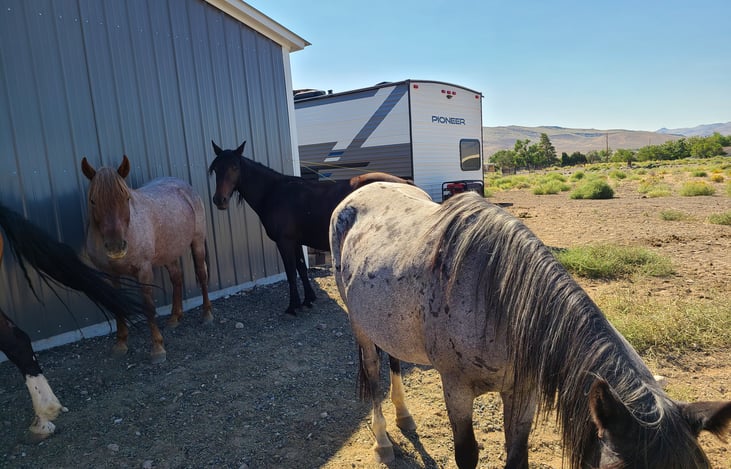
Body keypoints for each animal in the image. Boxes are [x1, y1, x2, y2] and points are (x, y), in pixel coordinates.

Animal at [81, 155, 212, 364]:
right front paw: (121, 344)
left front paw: (157, 348)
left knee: (201, 273)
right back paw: (175, 318)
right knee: (177, 278)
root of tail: (183, 185)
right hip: (169, 252)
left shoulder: (143, 270)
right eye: (93, 201)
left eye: (126, 198)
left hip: (197, 241)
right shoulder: (111, 274)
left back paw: (207, 314)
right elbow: (116, 305)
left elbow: (148, 305)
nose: (116, 247)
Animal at [208, 140, 412, 316]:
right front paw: (308, 300)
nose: (219, 200)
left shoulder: (284, 242)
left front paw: (292, 306)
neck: (273, 192)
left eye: (234, 167)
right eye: (216, 168)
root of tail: (405, 184)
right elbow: (301, 268)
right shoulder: (295, 241)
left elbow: (291, 272)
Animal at [329, 182, 731, 469]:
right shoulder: (456, 389)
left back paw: (405, 417)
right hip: (359, 324)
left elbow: (517, 457)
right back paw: (383, 442)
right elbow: (466, 455)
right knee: (373, 371)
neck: (499, 300)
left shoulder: (523, 393)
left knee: (394, 360)